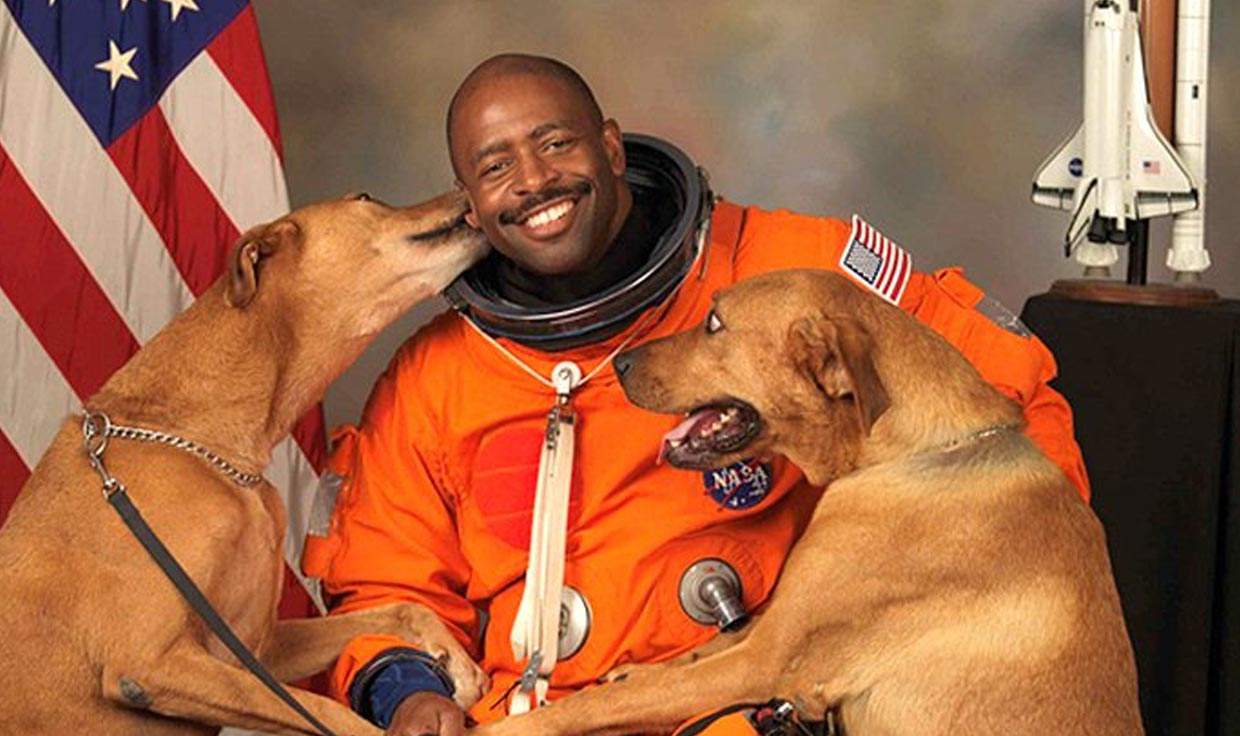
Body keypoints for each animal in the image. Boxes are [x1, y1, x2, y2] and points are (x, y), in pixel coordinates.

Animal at [1, 190, 493, 733]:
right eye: (365, 197)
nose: (464, 190)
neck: (208, 443)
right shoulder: (149, 663)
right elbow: (333, 713)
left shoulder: (258, 649)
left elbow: (401, 606)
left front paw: (454, 661)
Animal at [466, 267, 1140, 733]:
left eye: (715, 323)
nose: (620, 361)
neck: (910, 451)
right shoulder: (770, 628)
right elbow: (701, 648)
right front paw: (644, 668)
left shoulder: (766, 662)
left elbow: (598, 705)